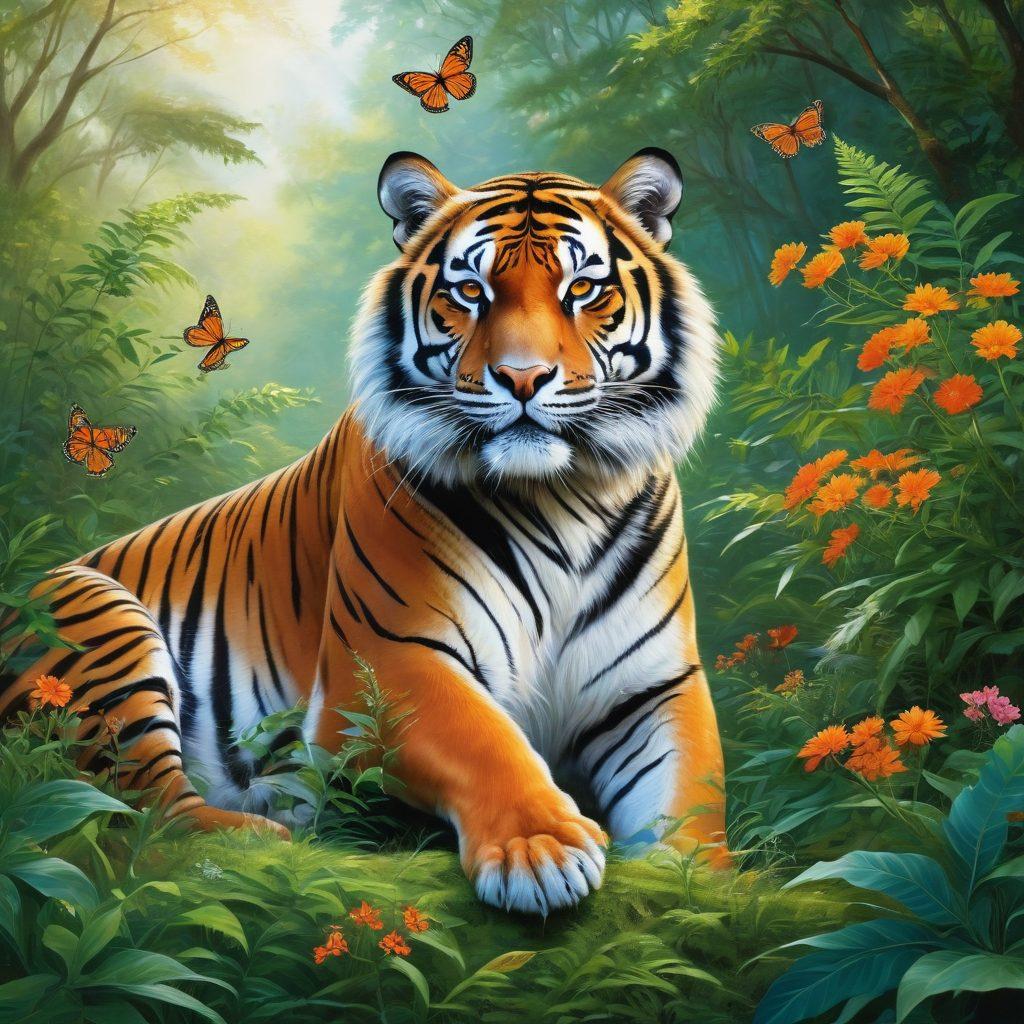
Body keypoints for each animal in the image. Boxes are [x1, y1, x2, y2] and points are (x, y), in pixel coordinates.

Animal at [1, 148, 727, 915]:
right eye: (470, 291)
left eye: (582, 287)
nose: (523, 378)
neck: (558, 494)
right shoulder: (386, 663)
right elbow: (485, 741)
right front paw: (541, 849)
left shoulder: (653, 688)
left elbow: (691, 797)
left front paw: (697, 880)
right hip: (93, 614)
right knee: (148, 817)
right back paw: (268, 829)